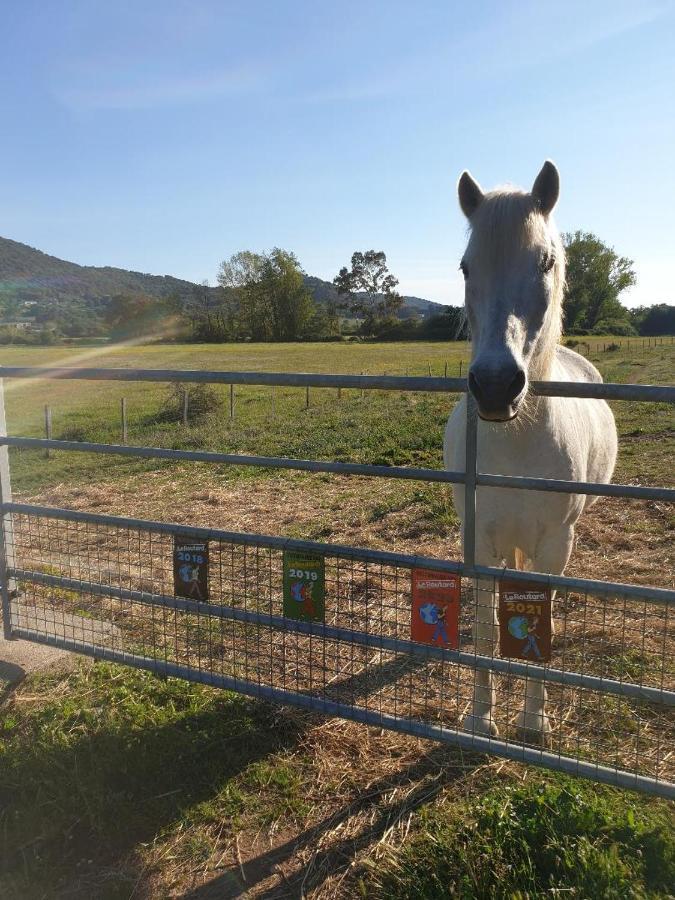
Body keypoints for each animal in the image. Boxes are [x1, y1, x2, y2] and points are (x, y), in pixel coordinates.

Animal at [446, 162, 620, 744]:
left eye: (545, 261)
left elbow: (540, 627)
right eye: (466, 266)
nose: (496, 386)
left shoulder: (553, 545)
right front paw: (479, 717)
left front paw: (533, 721)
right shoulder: (478, 541)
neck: (515, 440)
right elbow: (483, 629)